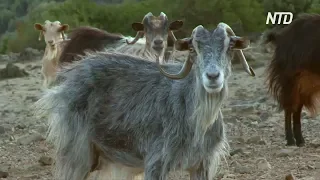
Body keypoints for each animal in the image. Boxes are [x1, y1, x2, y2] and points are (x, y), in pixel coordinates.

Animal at [34, 22, 255, 180]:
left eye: (229, 46)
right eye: (193, 48)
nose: (212, 76)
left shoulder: (202, 164)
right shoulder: (156, 162)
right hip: (78, 152)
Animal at [264, 13, 320, 147]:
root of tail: (280, 37)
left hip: (304, 84)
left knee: (297, 108)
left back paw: (300, 140)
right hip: (290, 79)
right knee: (289, 108)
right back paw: (291, 140)